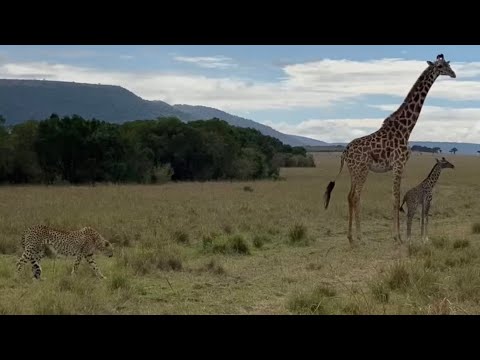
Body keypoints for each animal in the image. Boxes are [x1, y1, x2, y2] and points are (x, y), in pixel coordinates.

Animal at [324, 53, 456, 245]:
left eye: (447, 64)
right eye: (440, 66)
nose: (453, 74)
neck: (406, 128)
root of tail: (345, 151)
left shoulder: (398, 166)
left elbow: (396, 197)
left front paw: (398, 235)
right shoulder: (399, 164)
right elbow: (396, 198)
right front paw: (398, 237)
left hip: (353, 171)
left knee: (349, 196)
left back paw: (350, 237)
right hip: (362, 170)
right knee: (356, 196)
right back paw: (360, 237)